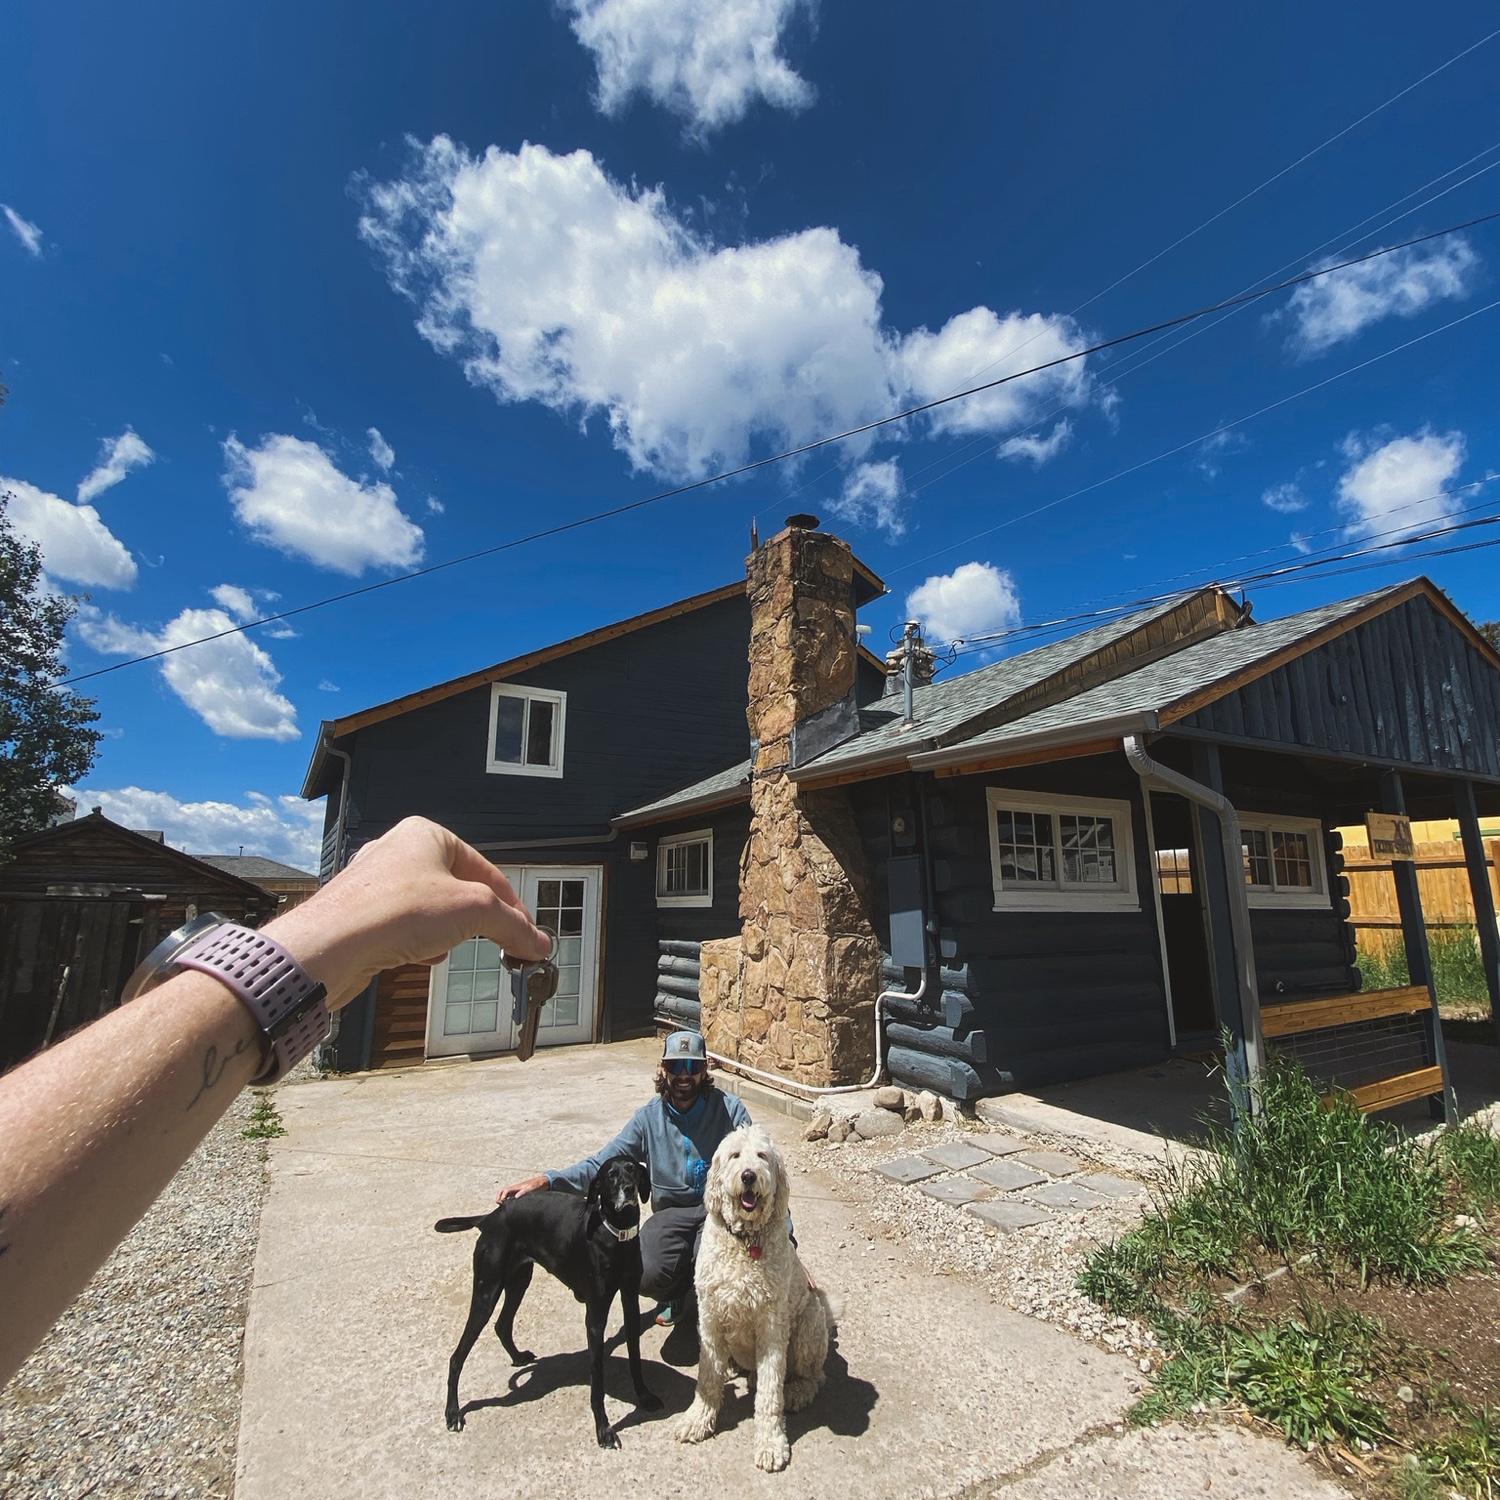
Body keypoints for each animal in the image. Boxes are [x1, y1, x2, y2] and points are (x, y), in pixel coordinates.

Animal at [435, 1154, 662, 1448]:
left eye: (633, 1170)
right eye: (610, 1175)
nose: (629, 1189)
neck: (615, 1233)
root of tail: (490, 1218)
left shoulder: (630, 1301)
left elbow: (635, 1358)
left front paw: (644, 1396)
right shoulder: (595, 1317)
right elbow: (597, 1381)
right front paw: (604, 1430)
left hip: (519, 1280)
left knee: (502, 1324)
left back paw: (518, 1356)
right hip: (487, 1292)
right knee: (456, 1357)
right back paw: (452, 1413)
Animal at [674, 1125, 829, 1472]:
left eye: (762, 1156)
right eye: (734, 1155)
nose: (748, 1175)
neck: (745, 1242)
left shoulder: (771, 1326)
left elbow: (771, 1392)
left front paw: (770, 1442)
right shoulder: (710, 1317)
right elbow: (707, 1377)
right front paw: (698, 1419)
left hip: (810, 1321)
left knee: (814, 1376)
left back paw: (796, 1391)